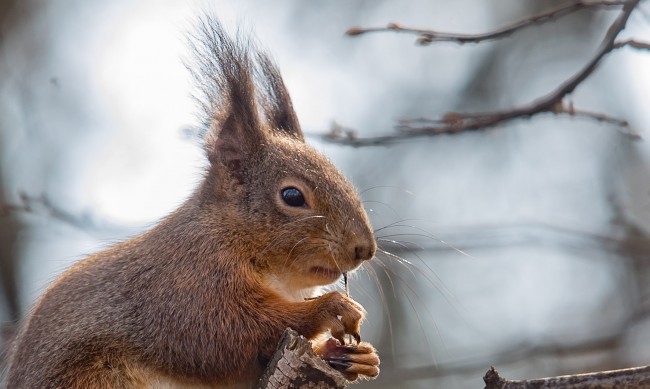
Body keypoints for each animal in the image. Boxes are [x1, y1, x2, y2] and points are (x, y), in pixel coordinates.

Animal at [6, 15, 380, 388]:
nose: (364, 249)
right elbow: (226, 331)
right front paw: (331, 307)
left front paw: (359, 358)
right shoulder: (188, 283)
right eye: (292, 196)